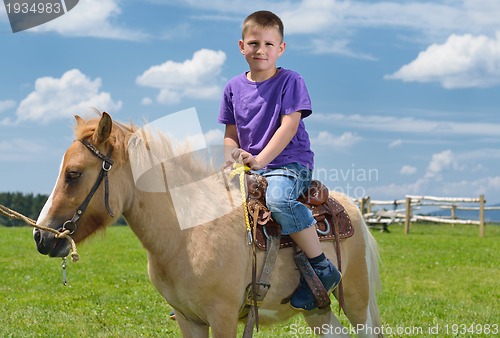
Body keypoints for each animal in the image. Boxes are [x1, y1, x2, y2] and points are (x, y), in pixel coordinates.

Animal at [33, 112, 380, 336]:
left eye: (74, 174)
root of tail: (351, 208)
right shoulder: (189, 320)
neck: (187, 235)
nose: (40, 236)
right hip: (317, 309)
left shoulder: (223, 317)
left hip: (356, 303)